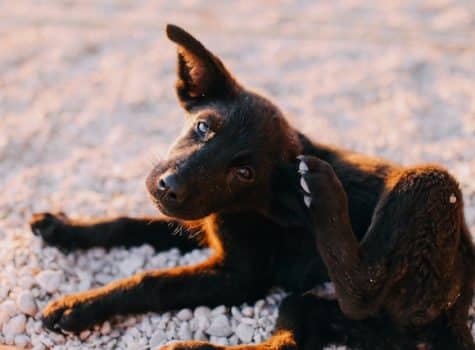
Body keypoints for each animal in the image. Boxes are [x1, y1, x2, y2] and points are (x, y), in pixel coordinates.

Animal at [30, 23, 475, 348]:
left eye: (244, 172)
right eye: (203, 127)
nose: (168, 187)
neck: (250, 205)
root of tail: (459, 305)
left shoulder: (240, 275)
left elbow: (154, 281)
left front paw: (79, 306)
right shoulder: (201, 225)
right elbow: (127, 223)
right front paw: (63, 228)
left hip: (429, 186)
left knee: (362, 289)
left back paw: (323, 193)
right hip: (326, 312)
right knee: (291, 336)